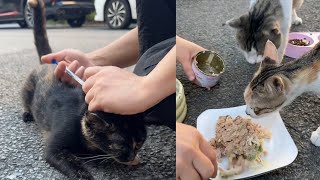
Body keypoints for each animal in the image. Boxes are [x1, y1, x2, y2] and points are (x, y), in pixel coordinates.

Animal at [21, 0, 147, 179]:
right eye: (121, 145)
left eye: (139, 142)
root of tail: (47, 63)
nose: (131, 156)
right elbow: (75, 167)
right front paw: (86, 174)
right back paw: (27, 114)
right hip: (27, 89)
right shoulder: (55, 147)